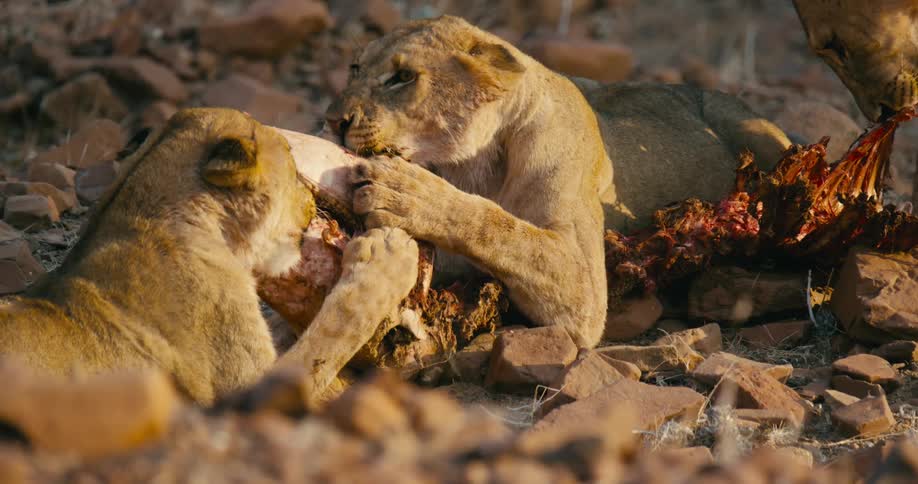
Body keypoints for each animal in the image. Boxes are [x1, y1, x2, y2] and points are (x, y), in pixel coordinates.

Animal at [323, 15, 790, 348]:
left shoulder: (585, 287)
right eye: (354, 68)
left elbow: (504, 230)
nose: (332, 121)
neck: (471, 163)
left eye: (403, 77)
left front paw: (407, 193)